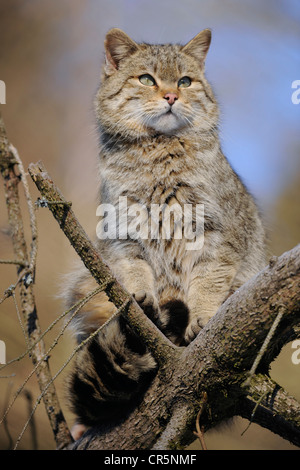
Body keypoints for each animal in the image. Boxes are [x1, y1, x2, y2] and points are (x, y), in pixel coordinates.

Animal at [64, 27, 266, 436]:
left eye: (185, 82)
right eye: (147, 79)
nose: (171, 96)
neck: (158, 154)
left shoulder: (215, 236)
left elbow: (206, 282)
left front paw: (202, 317)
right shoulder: (123, 237)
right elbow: (135, 274)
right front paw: (142, 299)